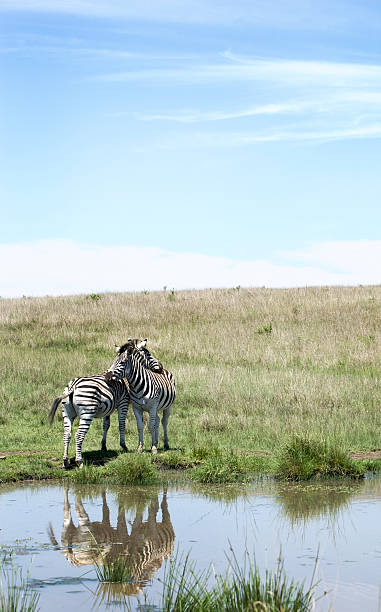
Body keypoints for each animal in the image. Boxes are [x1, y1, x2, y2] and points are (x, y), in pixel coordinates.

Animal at [48, 340, 152, 468]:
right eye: (148, 354)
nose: (160, 368)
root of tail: (73, 386)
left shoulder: (108, 407)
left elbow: (106, 425)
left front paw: (103, 446)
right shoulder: (123, 403)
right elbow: (121, 424)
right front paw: (123, 446)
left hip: (67, 413)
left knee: (67, 434)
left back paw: (66, 461)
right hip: (87, 412)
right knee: (78, 435)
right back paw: (79, 462)